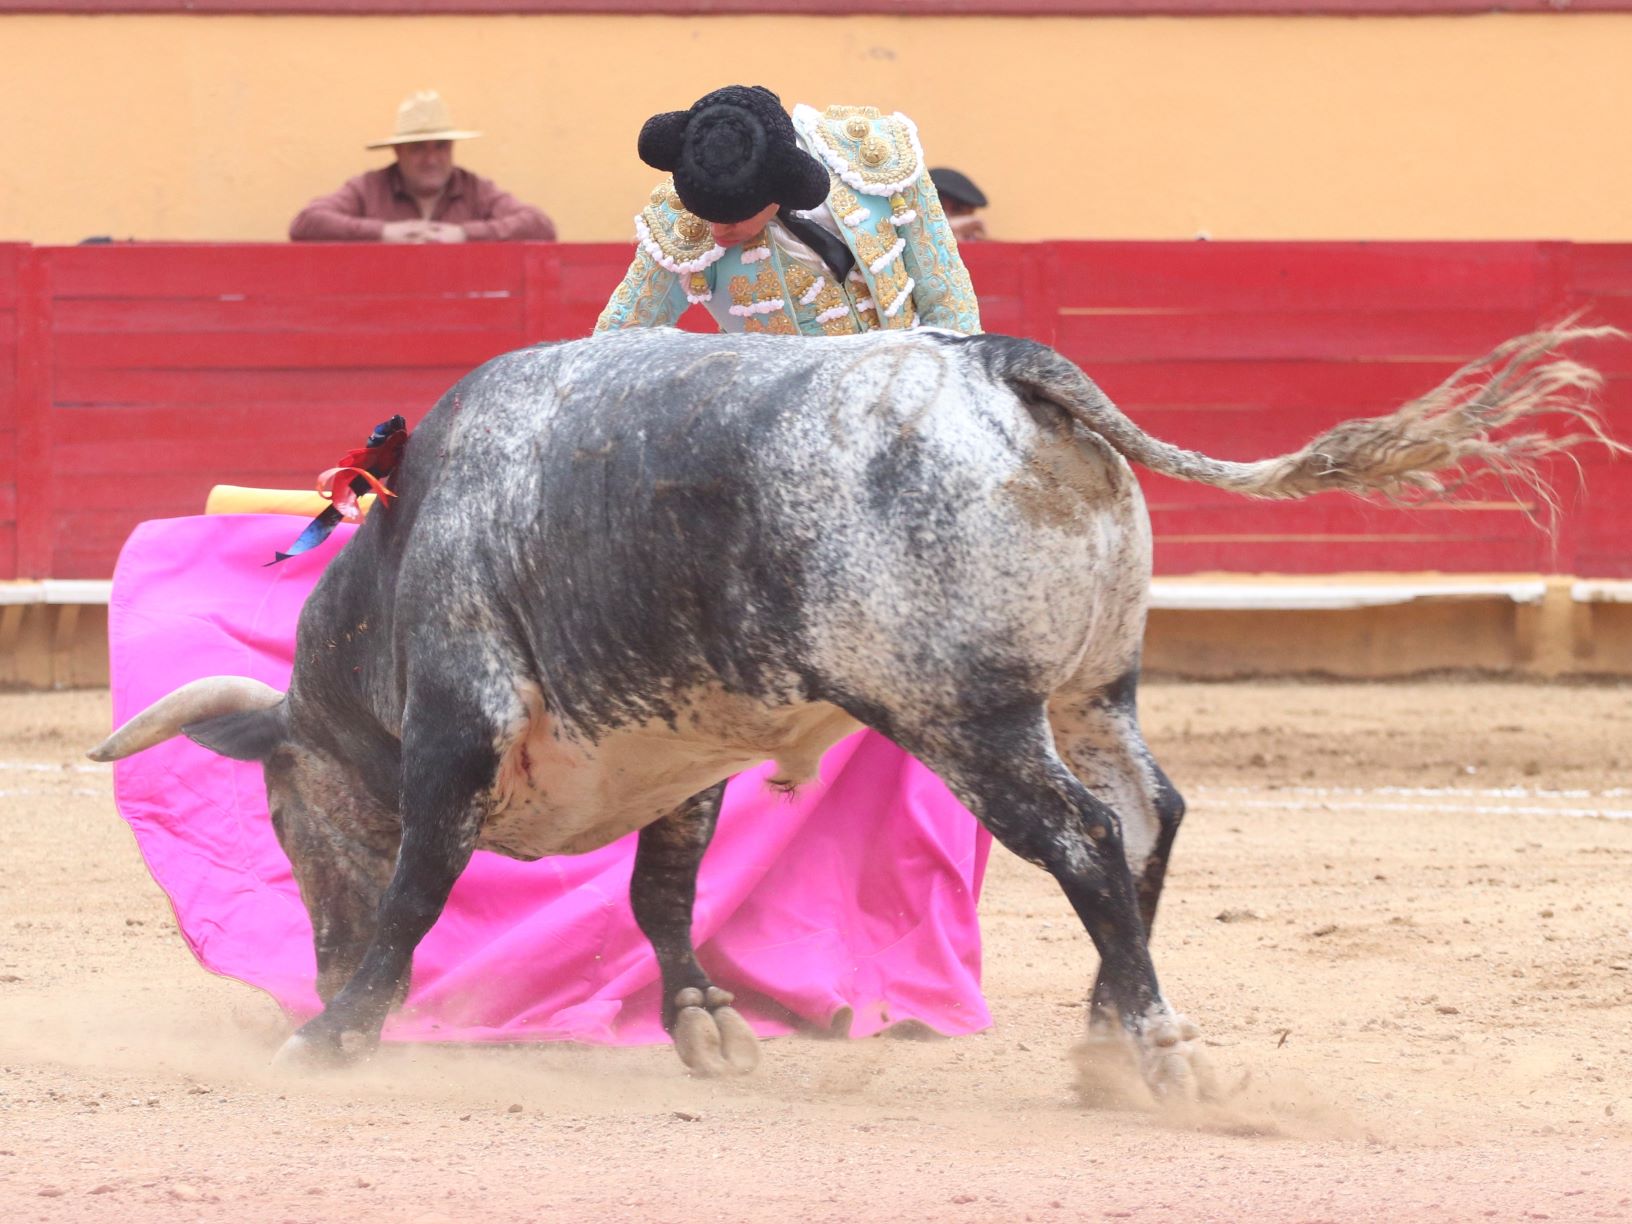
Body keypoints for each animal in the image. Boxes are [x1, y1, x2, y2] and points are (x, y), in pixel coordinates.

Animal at [90, 325, 1615, 1099]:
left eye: (280, 816)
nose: (312, 959)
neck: (394, 571)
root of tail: (1004, 362)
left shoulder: (463, 723)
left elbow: (420, 885)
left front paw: (333, 1033)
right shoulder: (684, 748)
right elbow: (661, 894)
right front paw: (706, 1028)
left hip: (970, 717)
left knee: (1079, 841)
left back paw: (1152, 1050)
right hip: (1092, 691)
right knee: (1149, 818)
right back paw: (1108, 1036)